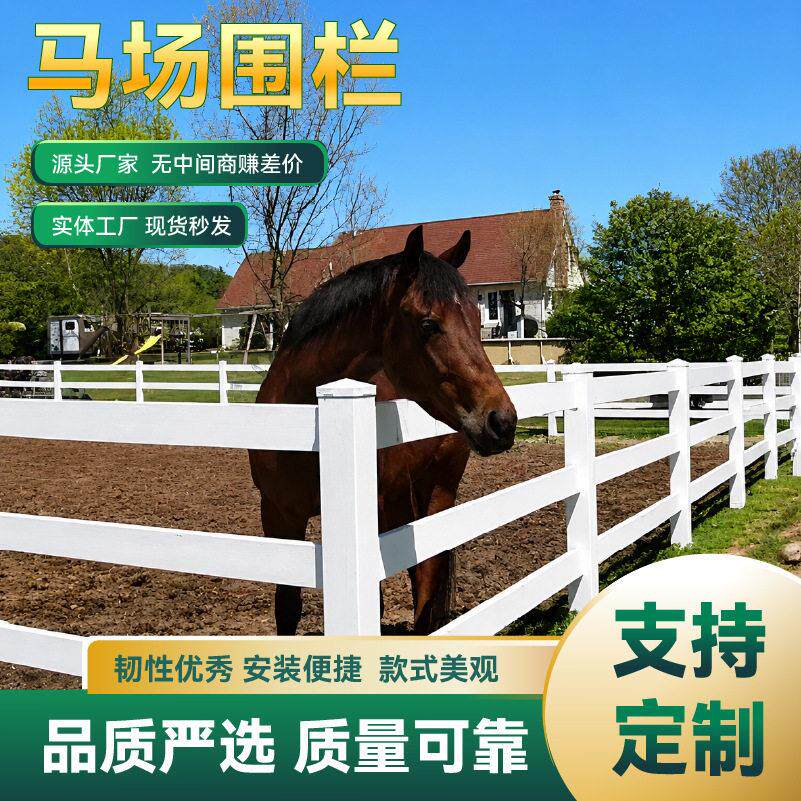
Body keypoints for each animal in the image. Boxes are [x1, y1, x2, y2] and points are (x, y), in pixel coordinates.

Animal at [249, 225, 518, 634]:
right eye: (428, 324)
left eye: (476, 315)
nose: (502, 421)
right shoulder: (279, 515)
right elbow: (287, 609)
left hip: (436, 491)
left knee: (427, 578)